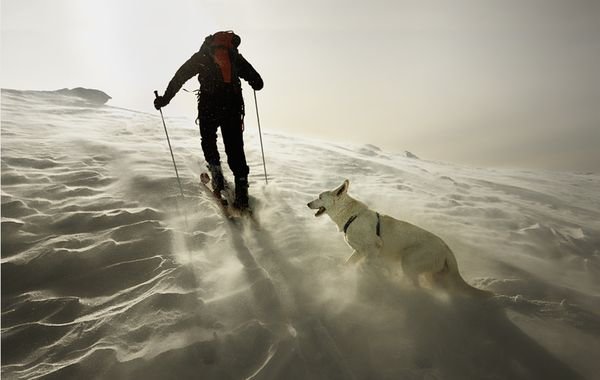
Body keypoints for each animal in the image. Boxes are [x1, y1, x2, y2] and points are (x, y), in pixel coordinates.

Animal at [308, 180, 490, 298]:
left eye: (320, 196)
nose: (308, 203)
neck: (351, 216)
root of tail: (446, 247)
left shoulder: (372, 249)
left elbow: (364, 265)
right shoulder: (359, 252)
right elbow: (349, 264)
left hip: (409, 262)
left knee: (417, 286)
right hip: (430, 274)